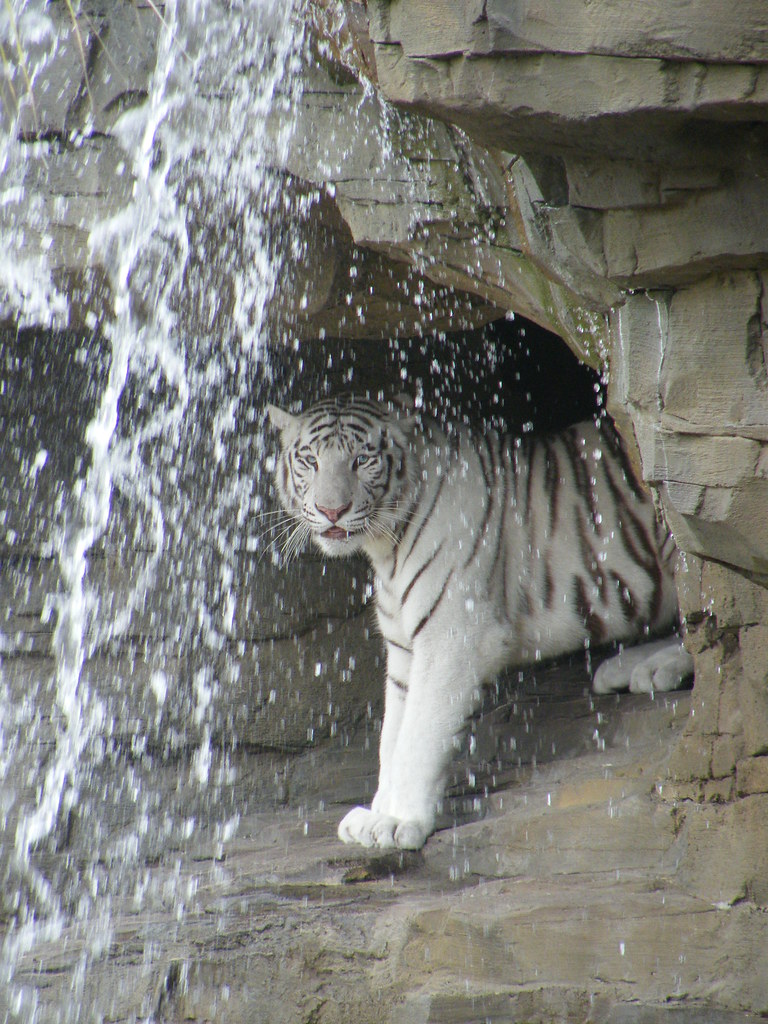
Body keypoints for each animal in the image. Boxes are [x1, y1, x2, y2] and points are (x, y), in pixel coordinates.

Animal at [266, 395, 694, 850]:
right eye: (310, 461)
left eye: (362, 460)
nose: (332, 510)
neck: (384, 548)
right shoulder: (403, 650)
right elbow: (391, 737)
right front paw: (377, 813)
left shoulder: (453, 636)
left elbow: (418, 733)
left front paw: (398, 821)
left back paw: (658, 666)